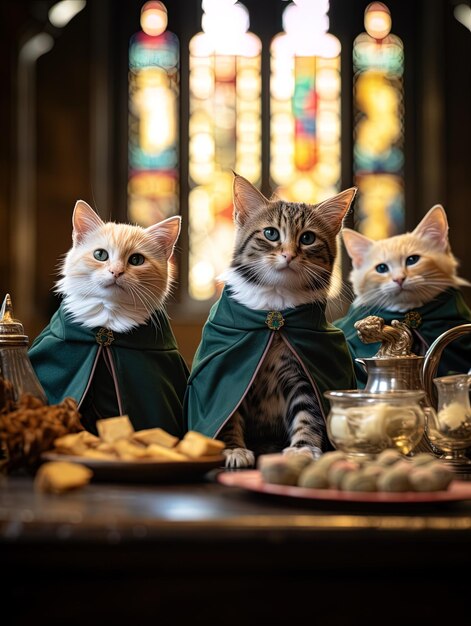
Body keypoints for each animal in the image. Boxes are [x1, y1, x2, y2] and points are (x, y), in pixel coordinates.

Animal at [185, 173, 358, 466]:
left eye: (308, 238)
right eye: (271, 234)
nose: (288, 255)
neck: (274, 316)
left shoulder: (303, 373)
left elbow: (308, 414)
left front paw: (303, 448)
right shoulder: (229, 372)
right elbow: (230, 416)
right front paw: (233, 449)